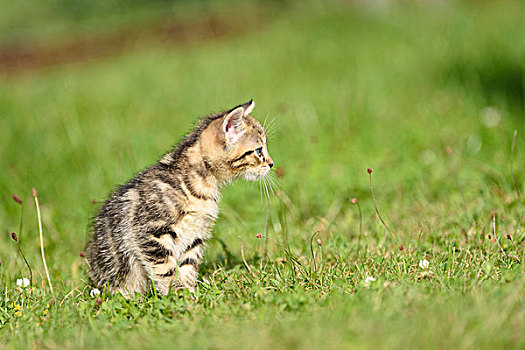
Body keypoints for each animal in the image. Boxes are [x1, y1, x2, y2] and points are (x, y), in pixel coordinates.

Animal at [86, 100, 272, 296]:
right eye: (259, 150)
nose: (271, 163)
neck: (197, 185)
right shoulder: (149, 232)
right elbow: (166, 268)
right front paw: (178, 294)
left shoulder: (195, 236)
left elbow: (187, 265)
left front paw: (190, 293)